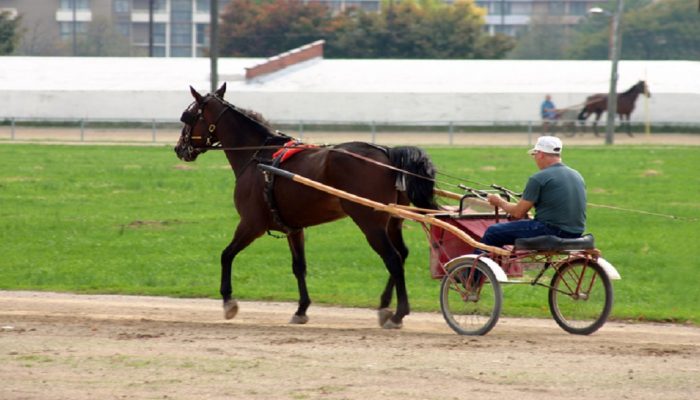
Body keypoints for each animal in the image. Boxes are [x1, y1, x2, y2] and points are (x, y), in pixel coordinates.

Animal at [174, 83, 438, 328]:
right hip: (393, 220)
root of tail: (387, 153)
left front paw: (228, 301)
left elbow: (226, 255)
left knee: (393, 259)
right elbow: (299, 266)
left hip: (370, 221)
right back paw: (384, 306)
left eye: (188, 116)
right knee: (402, 254)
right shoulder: (293, 228)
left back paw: (398, 313)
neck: (259, 156)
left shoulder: (251, 224)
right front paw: (301, 309)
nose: (179, 148)